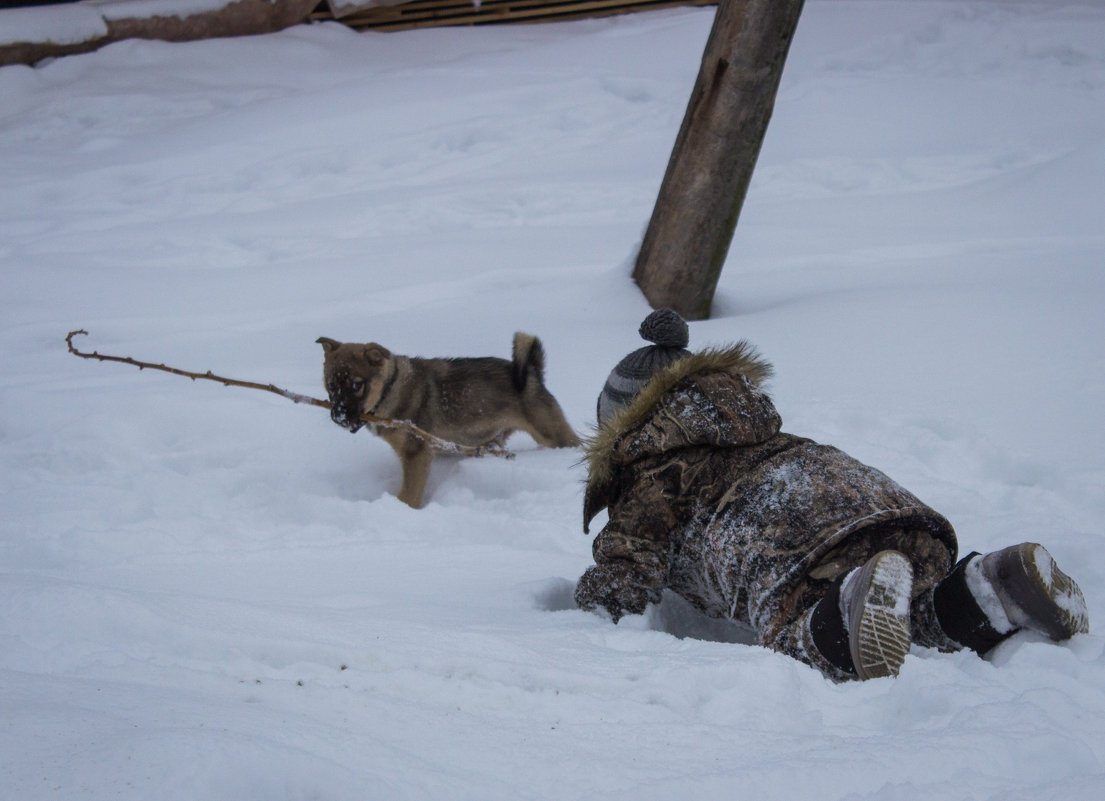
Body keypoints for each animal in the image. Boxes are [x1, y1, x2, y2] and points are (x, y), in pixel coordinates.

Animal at [318, 331, 583, 506]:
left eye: (356, 385)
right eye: (330, 385)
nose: (338, 417)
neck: (390, 388)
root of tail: (532, 373)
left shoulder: (416, 455)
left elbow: (409, 496)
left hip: (552, 432)